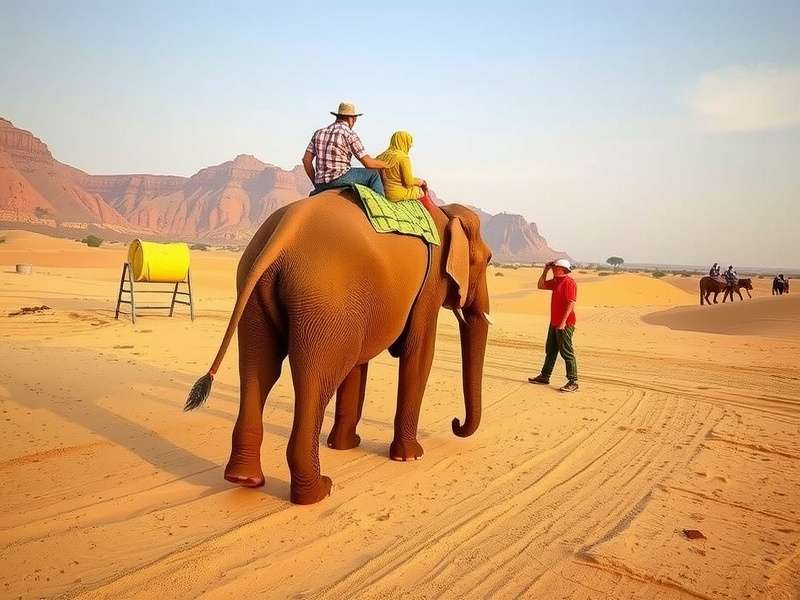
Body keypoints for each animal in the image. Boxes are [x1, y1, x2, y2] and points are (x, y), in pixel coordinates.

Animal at [185, 190, 492, 505]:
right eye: (488, 260)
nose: (455, 423)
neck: (446, 214)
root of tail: (284, 230)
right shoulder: (430, 286)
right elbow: (418, 354)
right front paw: (410, 457)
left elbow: (359, 363)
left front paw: (346, 446)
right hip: (324, 300)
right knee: (317, 381)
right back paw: (318, 491)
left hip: (257, 292)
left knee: (259, 368)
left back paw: (244, 480)